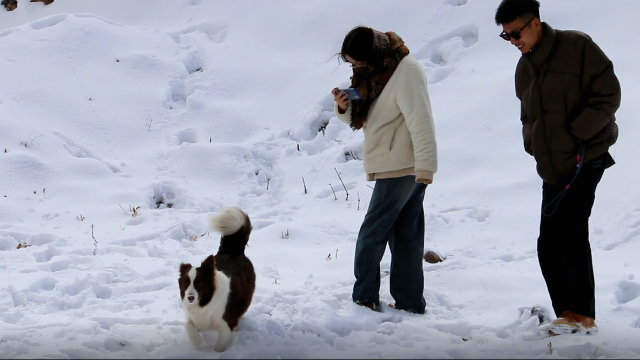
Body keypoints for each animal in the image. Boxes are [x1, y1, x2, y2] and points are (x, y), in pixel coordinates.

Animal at [178, 208, 255, 352]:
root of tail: (233, 251)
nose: (190, 297)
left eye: (200, 283)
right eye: (186, 282)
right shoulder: (195, 319)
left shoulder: (226, 323)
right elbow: (189, 327)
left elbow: (220, 345)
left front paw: (217, 353)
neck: (206, 300)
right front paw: (197, 345)